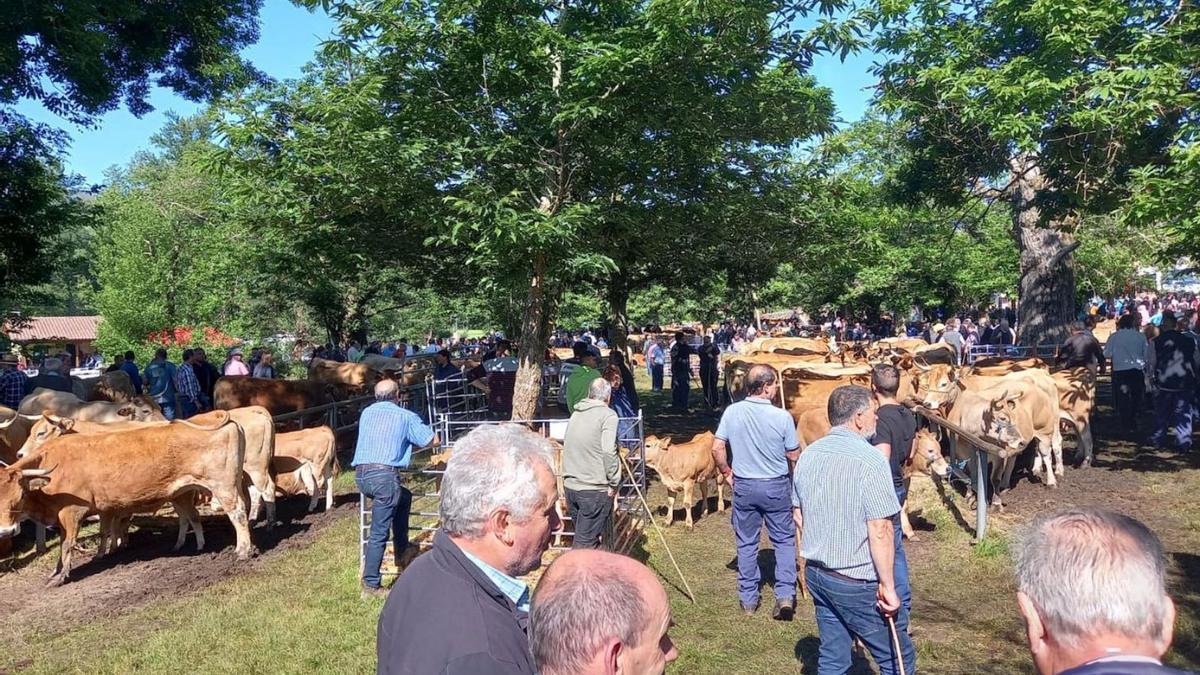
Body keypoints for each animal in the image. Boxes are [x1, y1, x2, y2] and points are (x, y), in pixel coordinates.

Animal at [0, 415, 250, 583]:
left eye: (20, 495)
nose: (6, 532)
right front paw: (58, 571)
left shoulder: (72, 513)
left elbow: (68, 545)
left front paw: (61, 576)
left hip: (223, 486)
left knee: (238, 513)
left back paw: (244, 551)